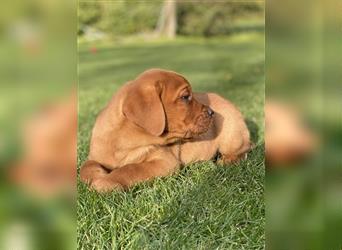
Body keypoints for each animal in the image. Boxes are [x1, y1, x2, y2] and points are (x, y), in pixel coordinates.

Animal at [80, 69, 251, 192]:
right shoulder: (95, 156)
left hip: (231, 133)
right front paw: (97, 176)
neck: (125, 140)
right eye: (185, 97)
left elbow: (131, 168)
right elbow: (85, 167)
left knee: (245, 149)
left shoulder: (164, 162)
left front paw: (106, 181)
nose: (211, 112)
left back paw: (228, 160)